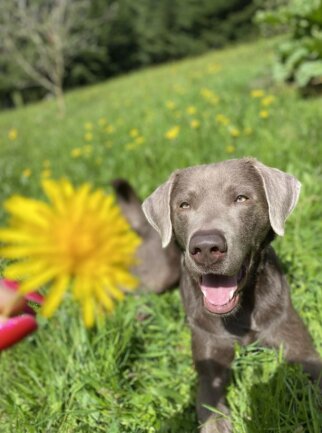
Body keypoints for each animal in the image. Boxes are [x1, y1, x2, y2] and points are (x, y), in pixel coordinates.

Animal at [141, 158, 322, 432]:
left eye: (241, 198)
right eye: (184, 205)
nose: (206, 247)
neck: (241, 312)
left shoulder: (296, 343)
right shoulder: (210, 356)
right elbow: (211, 407)